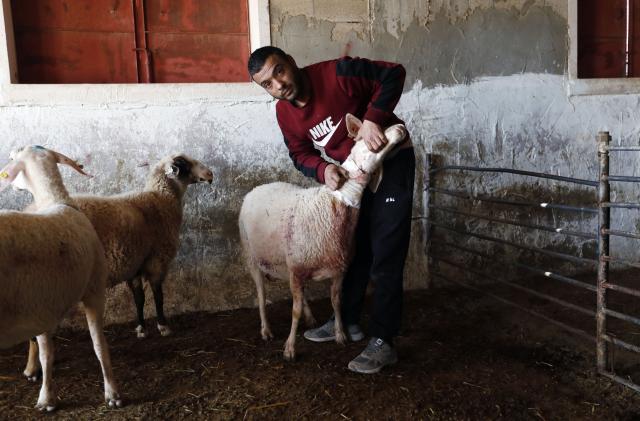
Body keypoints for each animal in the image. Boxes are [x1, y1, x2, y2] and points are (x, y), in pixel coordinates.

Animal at [0, 145, 122, 411]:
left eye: (13, 159)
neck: (56, 200)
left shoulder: (76, 296)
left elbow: (96, 345)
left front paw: (112, 392)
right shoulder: (47, 305)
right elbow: (49, 351)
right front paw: (47, 397)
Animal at [22, 153, 213, 381]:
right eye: (185, 163)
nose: (210, 174)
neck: (160, 199)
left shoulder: (134, 265)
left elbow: (139, 298)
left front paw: (141, 329)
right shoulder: (157, 261)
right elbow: (158, 296)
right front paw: (163, 326)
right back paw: (33, 370)